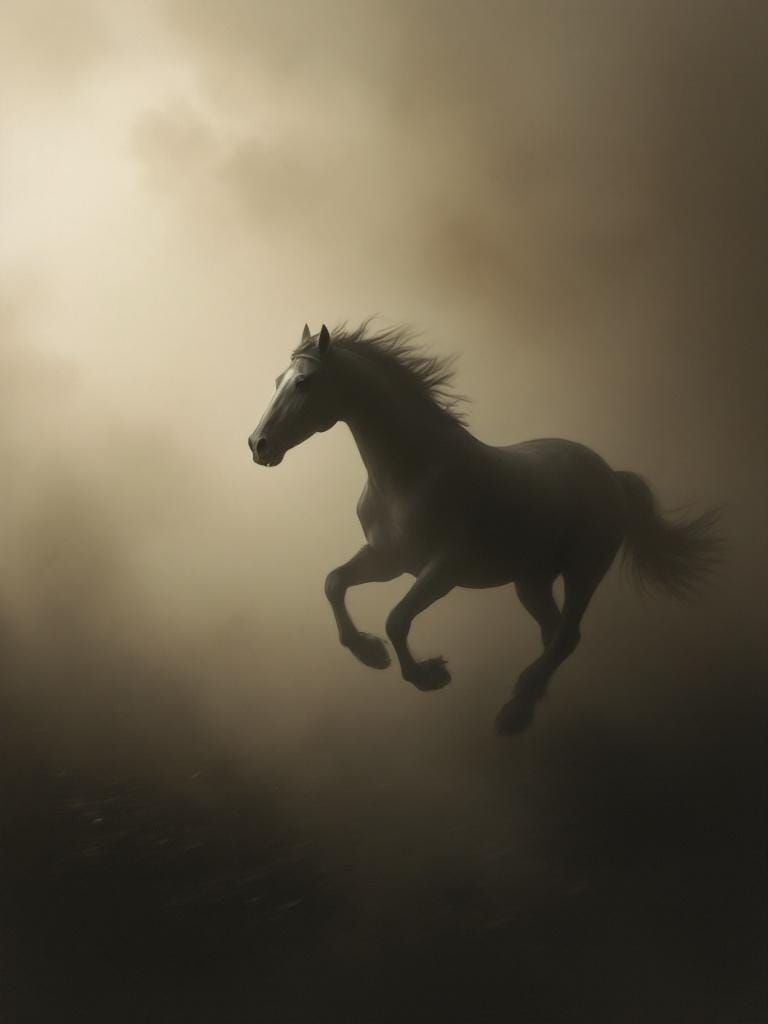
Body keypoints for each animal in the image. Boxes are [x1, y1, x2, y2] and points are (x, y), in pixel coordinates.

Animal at [248, 322, 721, 734]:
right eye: (277, 380)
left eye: (304, 382)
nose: (259, 445)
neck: (412, 473)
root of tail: (612, 476)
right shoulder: (388, 560)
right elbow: (334, 583)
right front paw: (371, 654)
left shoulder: (443, 571)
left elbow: (397, 619)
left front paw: (429, 676)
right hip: (531, 580)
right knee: (553, 634)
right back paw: (525, 705)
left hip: (584, 571)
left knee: (567, 636)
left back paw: (514, 713)